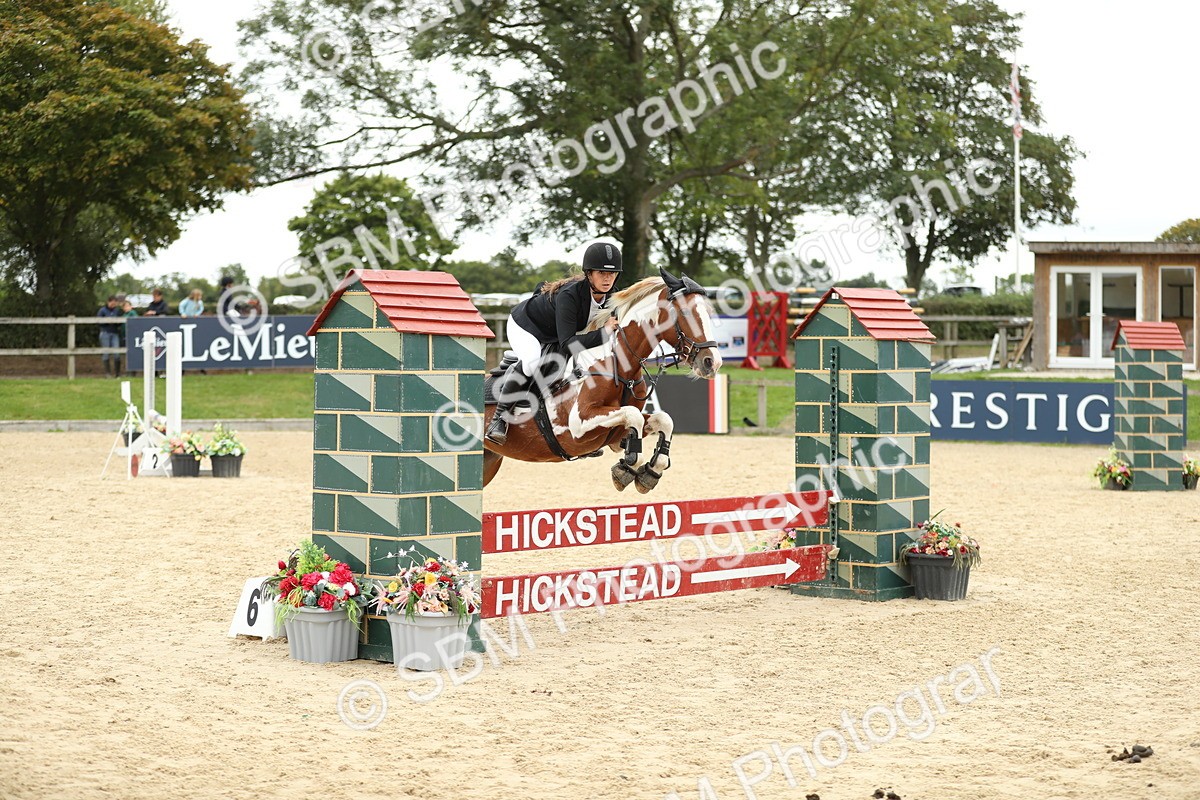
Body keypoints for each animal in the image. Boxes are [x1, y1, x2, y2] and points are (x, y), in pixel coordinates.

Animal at [482, 268, 723, 493]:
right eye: (685, 312)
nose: (712, 362)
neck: (617, 364)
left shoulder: (615, 431)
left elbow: (664, 420)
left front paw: (649, 472)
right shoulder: (578, 426)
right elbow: (632, 415)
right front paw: (626, 468)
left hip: (488, 461)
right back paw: (497, 429)